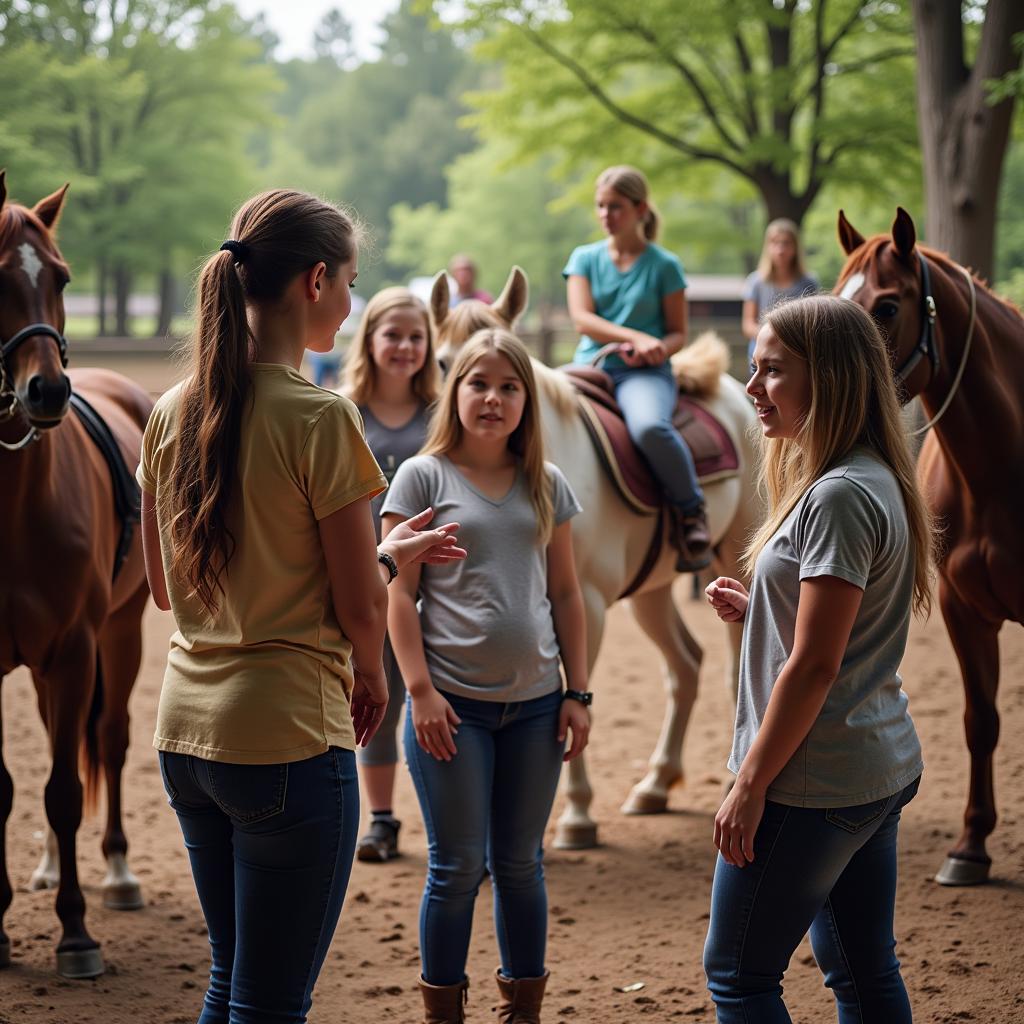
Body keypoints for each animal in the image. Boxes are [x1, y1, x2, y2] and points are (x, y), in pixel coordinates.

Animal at [423, 268, 761, 843]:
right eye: (443, 361)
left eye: (507, 374)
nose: (473, 416)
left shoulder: (586, 604)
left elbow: (572, 695)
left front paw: (577, 815)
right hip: (651, 593)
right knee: (686, 666)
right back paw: (654, 785)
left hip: (732, 569)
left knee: (733, 669)